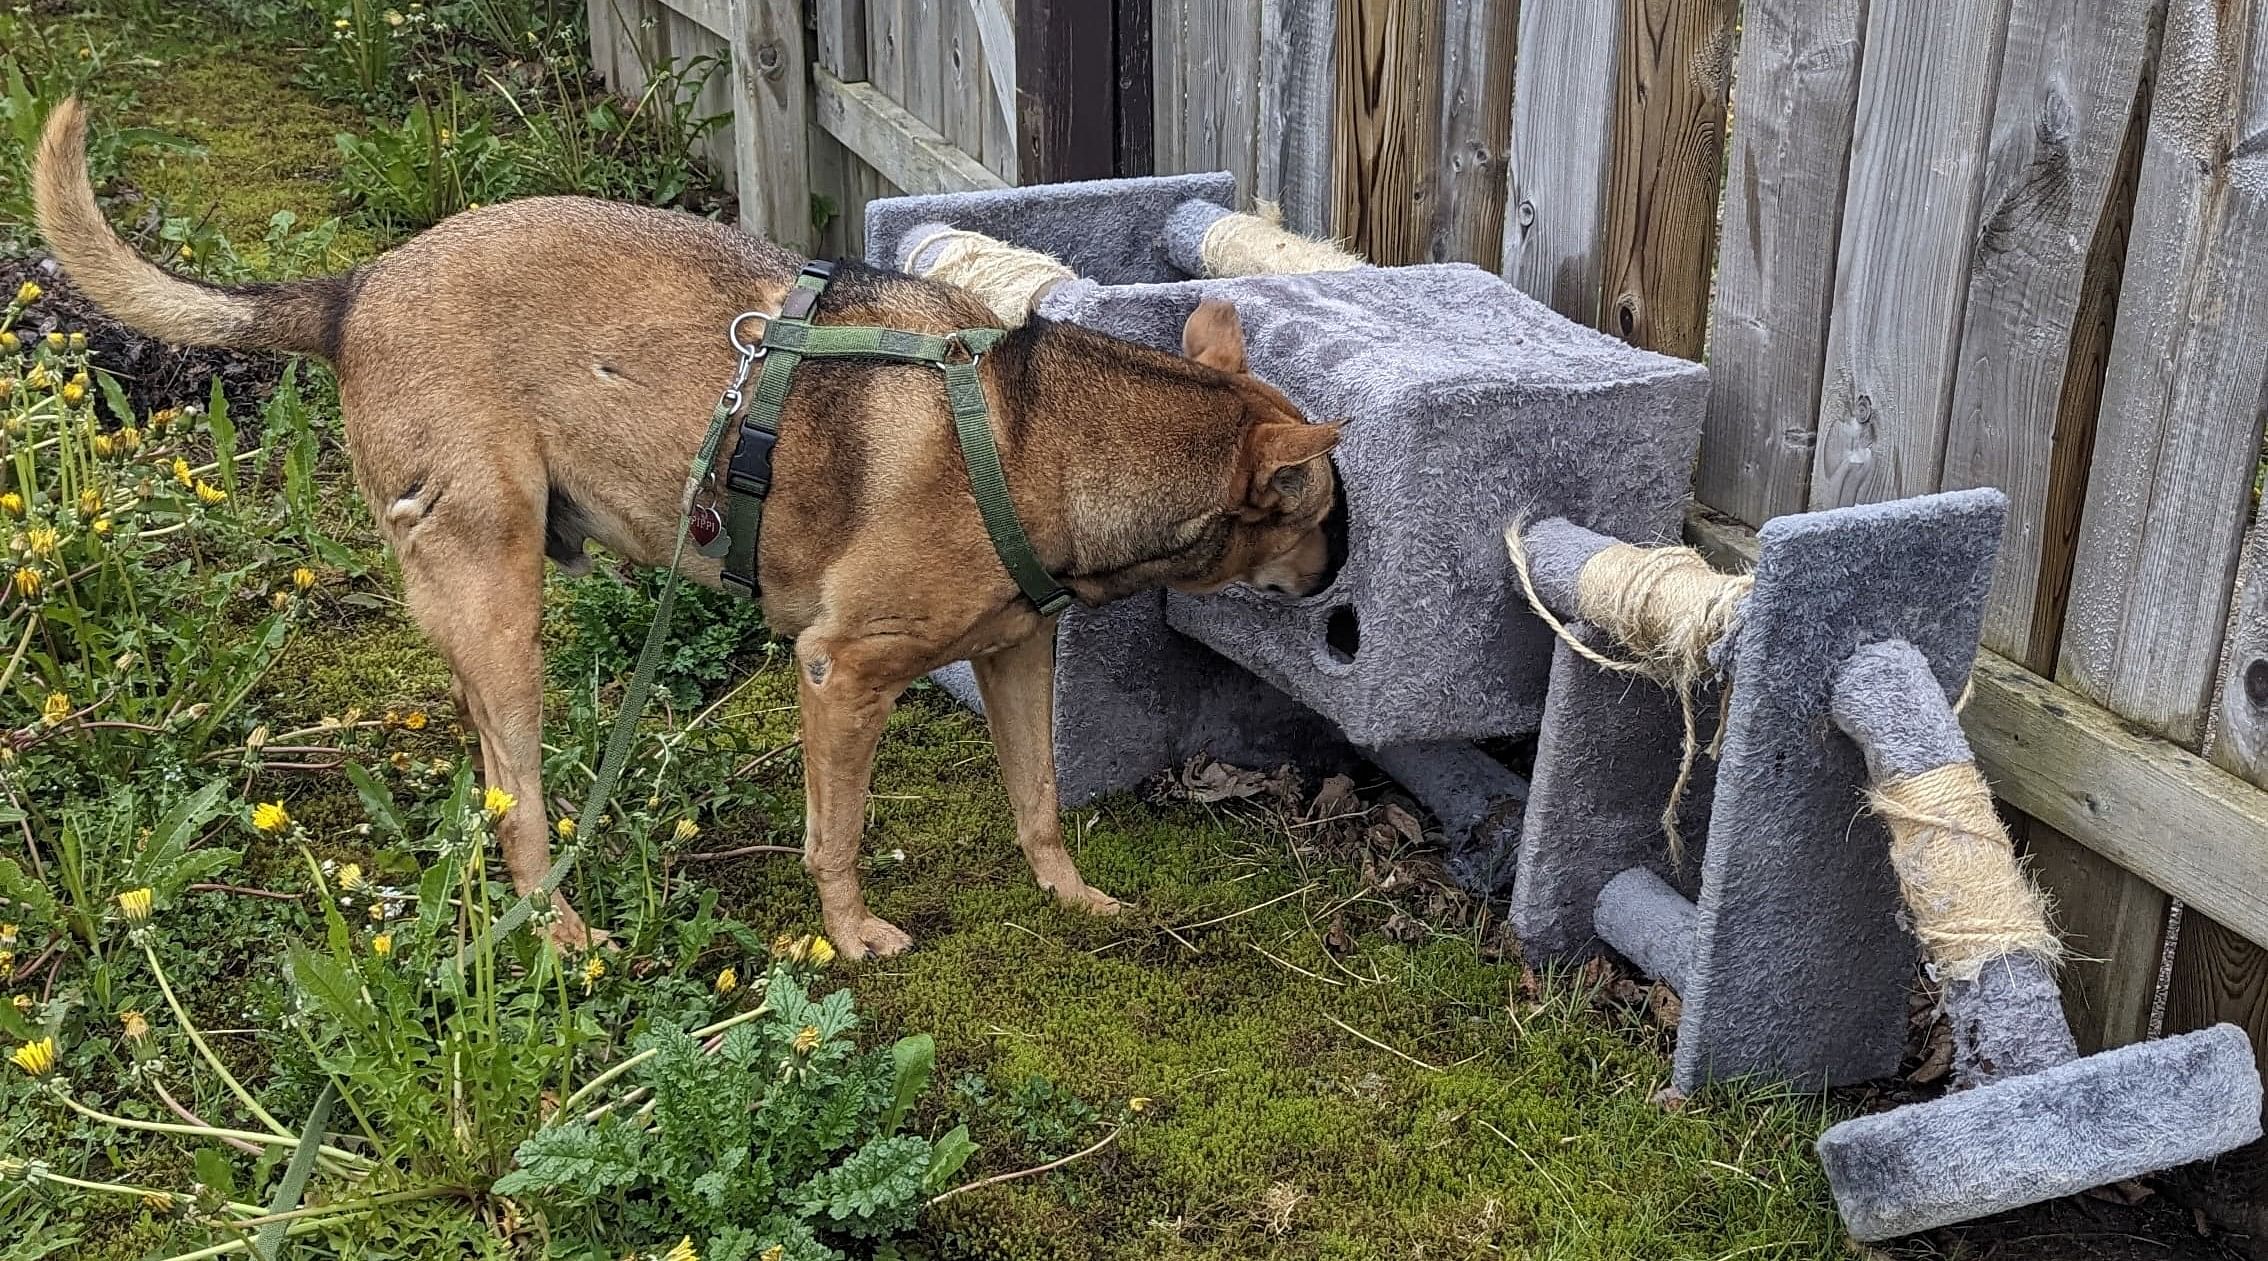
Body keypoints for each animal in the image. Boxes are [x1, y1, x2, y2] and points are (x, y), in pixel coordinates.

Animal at [35, 100, 1333, 957]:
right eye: (1322, 510)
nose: (1340, 569)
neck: (1043, 432)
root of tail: (352, 291)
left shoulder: (1014, 656)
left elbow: (1038, 801)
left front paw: (1071, 899)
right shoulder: (841, 675)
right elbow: (839, 835)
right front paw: (850, 935)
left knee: (489, 774)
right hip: (507, 608)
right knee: (521, 807)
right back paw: (559, 927)